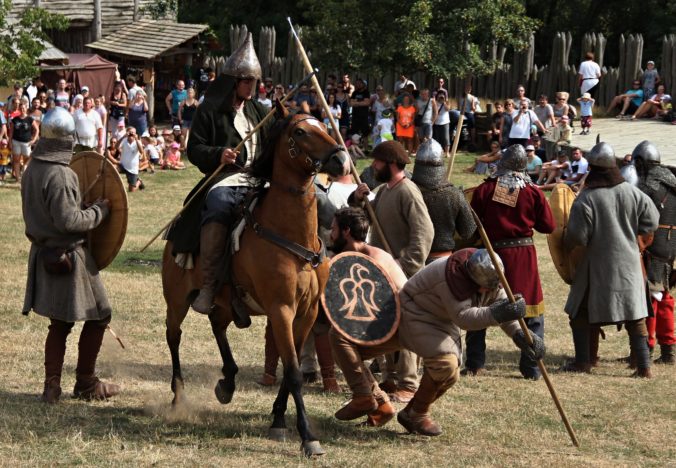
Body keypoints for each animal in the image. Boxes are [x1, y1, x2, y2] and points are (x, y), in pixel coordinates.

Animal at [158, 103, 348, 458]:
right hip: (176, 299)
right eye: (300, 131)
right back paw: (179, 396)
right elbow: (293, 372)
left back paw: (228, 381)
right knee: (173, 336)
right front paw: (307, 436)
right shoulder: (281, 310)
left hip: (224, 300)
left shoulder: (307, 312)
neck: (291, 234)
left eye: (324, 124)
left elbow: (290, 369)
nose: (340, 160)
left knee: (217, 325)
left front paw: (278, 421)